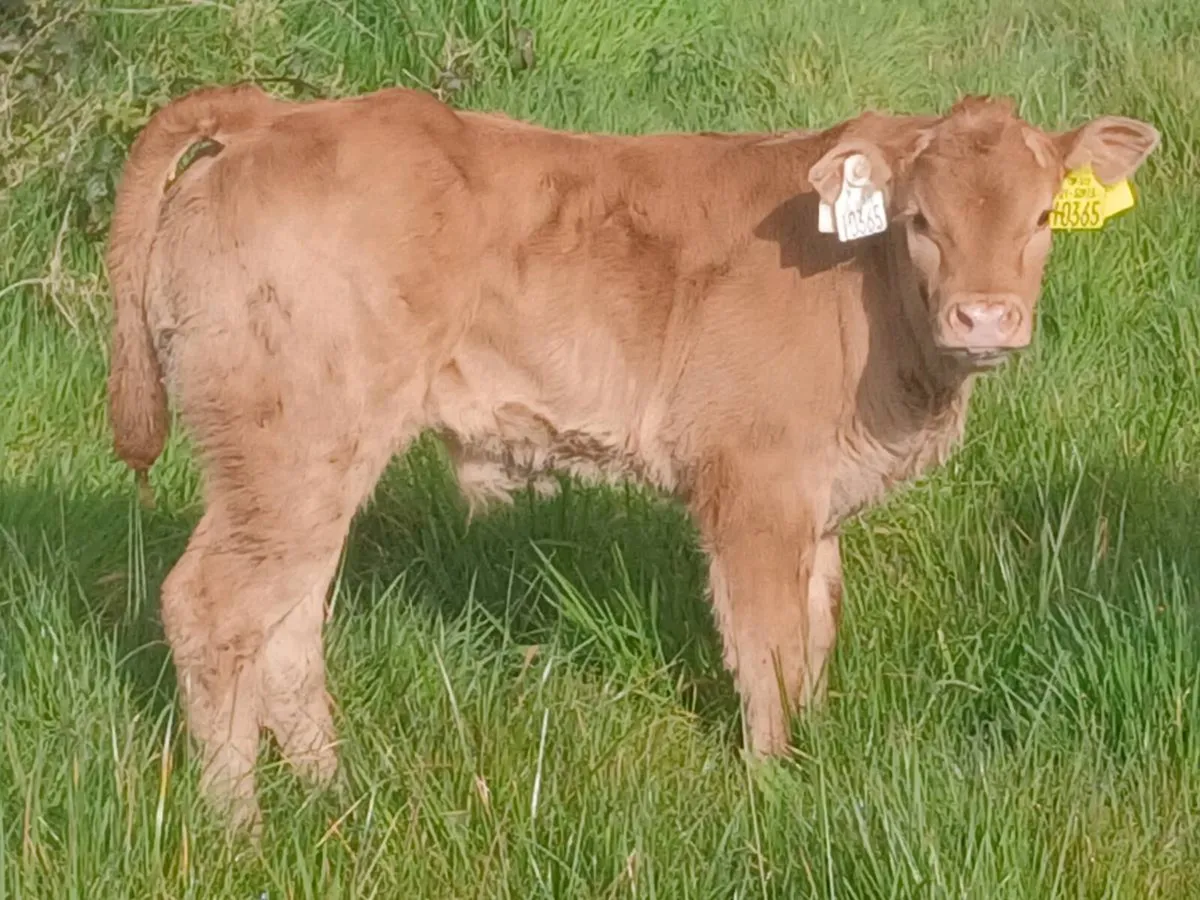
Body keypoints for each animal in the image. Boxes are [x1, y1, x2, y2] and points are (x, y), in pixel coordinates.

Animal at [105, 82, 1159, 829]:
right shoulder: (754, 486)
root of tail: (272, 113)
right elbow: (768, 649)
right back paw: (240, 828)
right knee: (214, 608)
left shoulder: (813, 503)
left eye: (1038, 220)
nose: (987, 318)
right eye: (920, 222)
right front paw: (774, 789)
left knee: (287, 620)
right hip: (288, 448)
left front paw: (814, 760)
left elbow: (816, 633)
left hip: (310, 463)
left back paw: (333, 797)